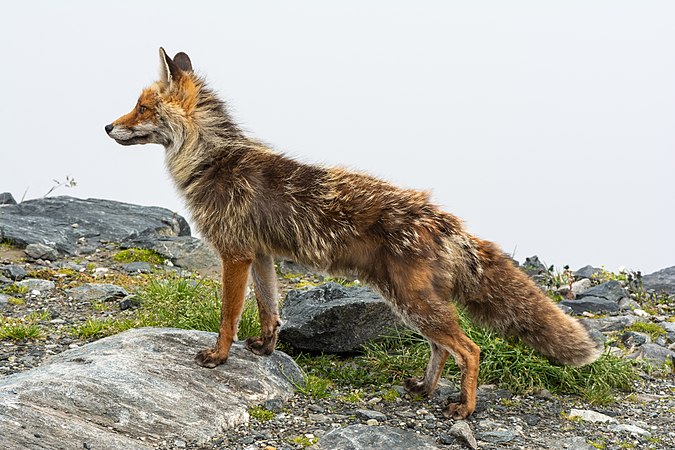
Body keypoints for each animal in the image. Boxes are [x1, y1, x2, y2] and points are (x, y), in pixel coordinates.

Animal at [105, 48, 604, 418]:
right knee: (443, 349)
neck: (211, 161)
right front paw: (266, 348)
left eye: (142, 108)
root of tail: (445, 219)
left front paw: (219, 356)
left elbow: (229, 315)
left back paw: (463, 408)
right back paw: (425, 389)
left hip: (413, 302)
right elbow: (269, 309)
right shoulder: (260, 255)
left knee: (471, 348)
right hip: (408, 303)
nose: (107, 126)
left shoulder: (235, 253)